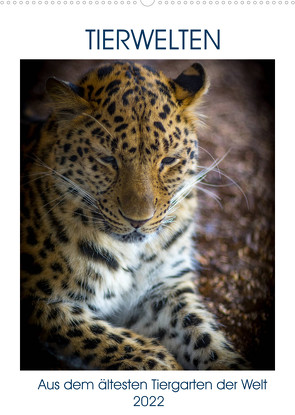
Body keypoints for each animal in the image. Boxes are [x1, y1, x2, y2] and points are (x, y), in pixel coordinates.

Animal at [19, 61, 249, 370]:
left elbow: (204, 337)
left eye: (168, 160)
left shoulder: (164, 288)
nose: (138, 220)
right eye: (107, 160)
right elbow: (114, 341)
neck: (132, 254)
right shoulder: (42, 302)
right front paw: (164, 365)